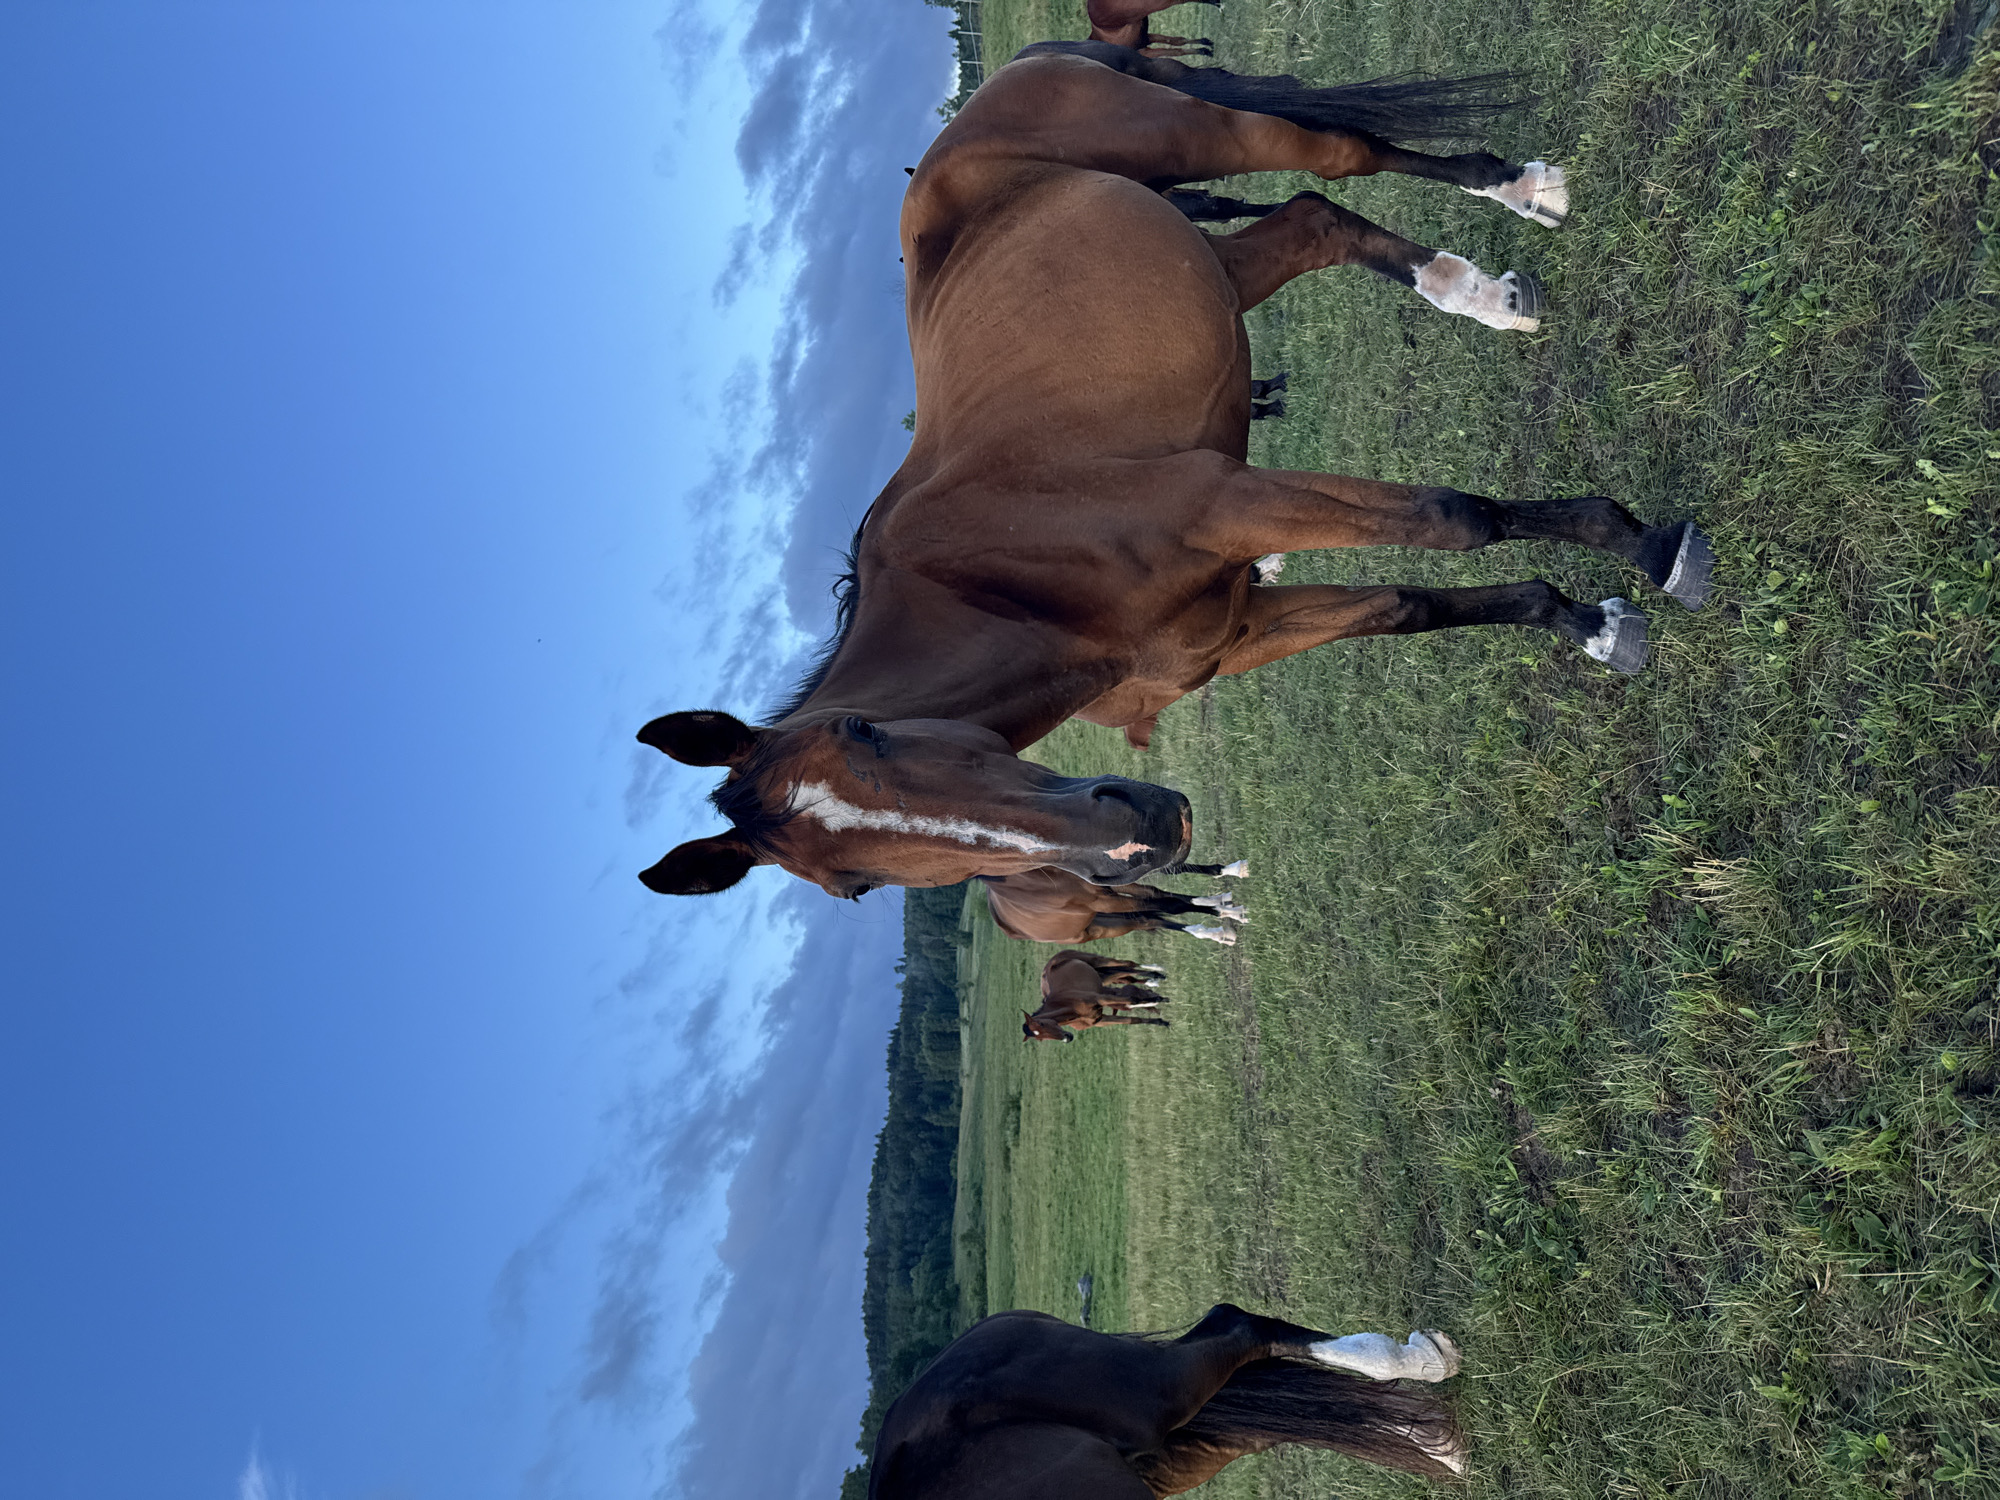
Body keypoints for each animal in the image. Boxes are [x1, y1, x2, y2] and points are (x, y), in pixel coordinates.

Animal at [636, 49, 1713, 902]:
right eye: (854, 884)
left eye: (867, 733)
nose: (1139, 836)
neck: (1009, 584)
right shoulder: (1237, 631)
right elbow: (1408, 602)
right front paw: (1587, 622)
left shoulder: (1225, 502)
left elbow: (1451, 519)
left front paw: (1646, 548)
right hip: (1215, 264)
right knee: (1317, 219)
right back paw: (1480, 290)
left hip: (1199, 138)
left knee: (1337, 155)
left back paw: (1517, 190)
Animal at [981, 865, 1246, 947]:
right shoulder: (1105, 900)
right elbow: (1172, 905)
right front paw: (1226, 912)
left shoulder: (1112, 884)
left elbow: (1168, 889)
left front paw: (1230, 872)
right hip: (1105, 926)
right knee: (1154, 915)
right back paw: (1217, 932)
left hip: (1112, 920)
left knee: (1151, 915)